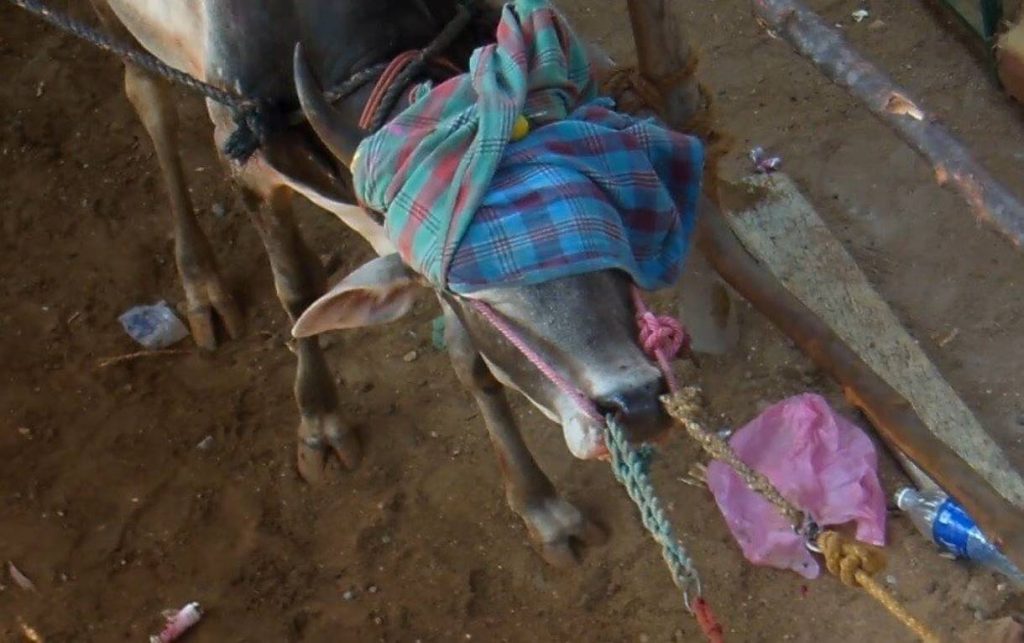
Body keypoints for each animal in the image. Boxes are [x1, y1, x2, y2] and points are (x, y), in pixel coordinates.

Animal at [86, 0, 695, 567]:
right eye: (469, 293)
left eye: (612, 235)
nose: (636, 404)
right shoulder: (246, 160)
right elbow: (298, 289)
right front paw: (319, 420)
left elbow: (470, 362)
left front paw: (540, 509)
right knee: (146, 96)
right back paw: (201, 285)